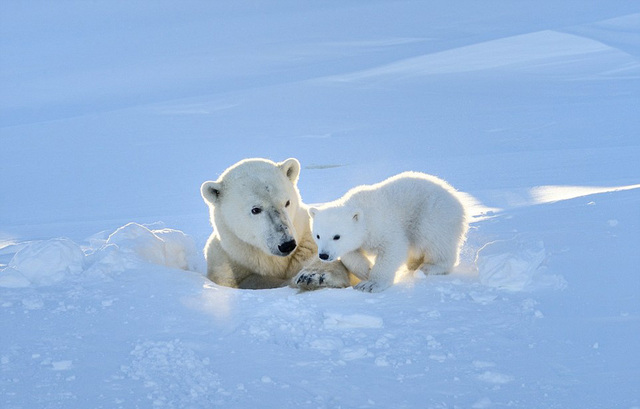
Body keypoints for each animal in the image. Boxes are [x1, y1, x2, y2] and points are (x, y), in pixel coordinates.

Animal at [201, 158, 348, 288]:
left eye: (287, 202)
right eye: (255, 209)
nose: (287, 245)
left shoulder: (307, 243)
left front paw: (313, 276)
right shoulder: (226, 263)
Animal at [308, 171, 468, 292]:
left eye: (337, 236)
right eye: (318, 235)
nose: (324, 255)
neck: (364, 213)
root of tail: (458, 200)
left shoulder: (382, 225)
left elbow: (393, 248)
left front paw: (371, 284)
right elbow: (350, 254)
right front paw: (366, 270)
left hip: (434, 213)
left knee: (434, 239)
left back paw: (430, 266)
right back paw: (413, 264)